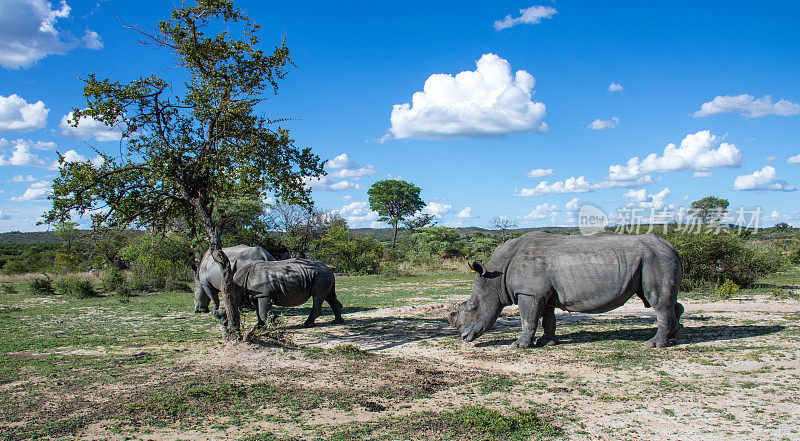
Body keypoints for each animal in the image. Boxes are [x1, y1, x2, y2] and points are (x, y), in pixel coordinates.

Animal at [446, 232, 684, 348]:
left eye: (474, 308)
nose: (463, 337)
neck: (497, 275)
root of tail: (672, 246)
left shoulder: (529, 293)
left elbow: (528, 319)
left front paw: (519, 346)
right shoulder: (543, 294)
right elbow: (547, 319)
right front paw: (547, 342)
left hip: (656, 259)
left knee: (658, 302)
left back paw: (653, 345)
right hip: (653, 259)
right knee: (663, 300)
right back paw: (674, 335)